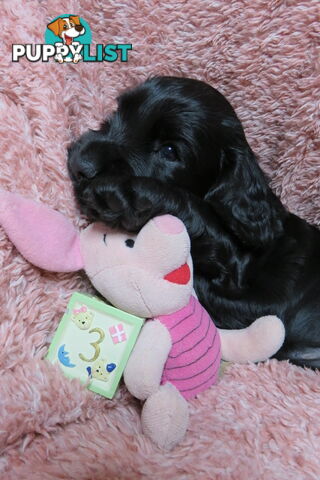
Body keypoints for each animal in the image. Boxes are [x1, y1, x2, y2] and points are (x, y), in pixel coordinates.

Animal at [68, 76, 320, 368]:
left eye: (169, 151)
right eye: (117, 113)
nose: (80, 163)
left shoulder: (237, 278)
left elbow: (199, 215)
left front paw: (126, 195)